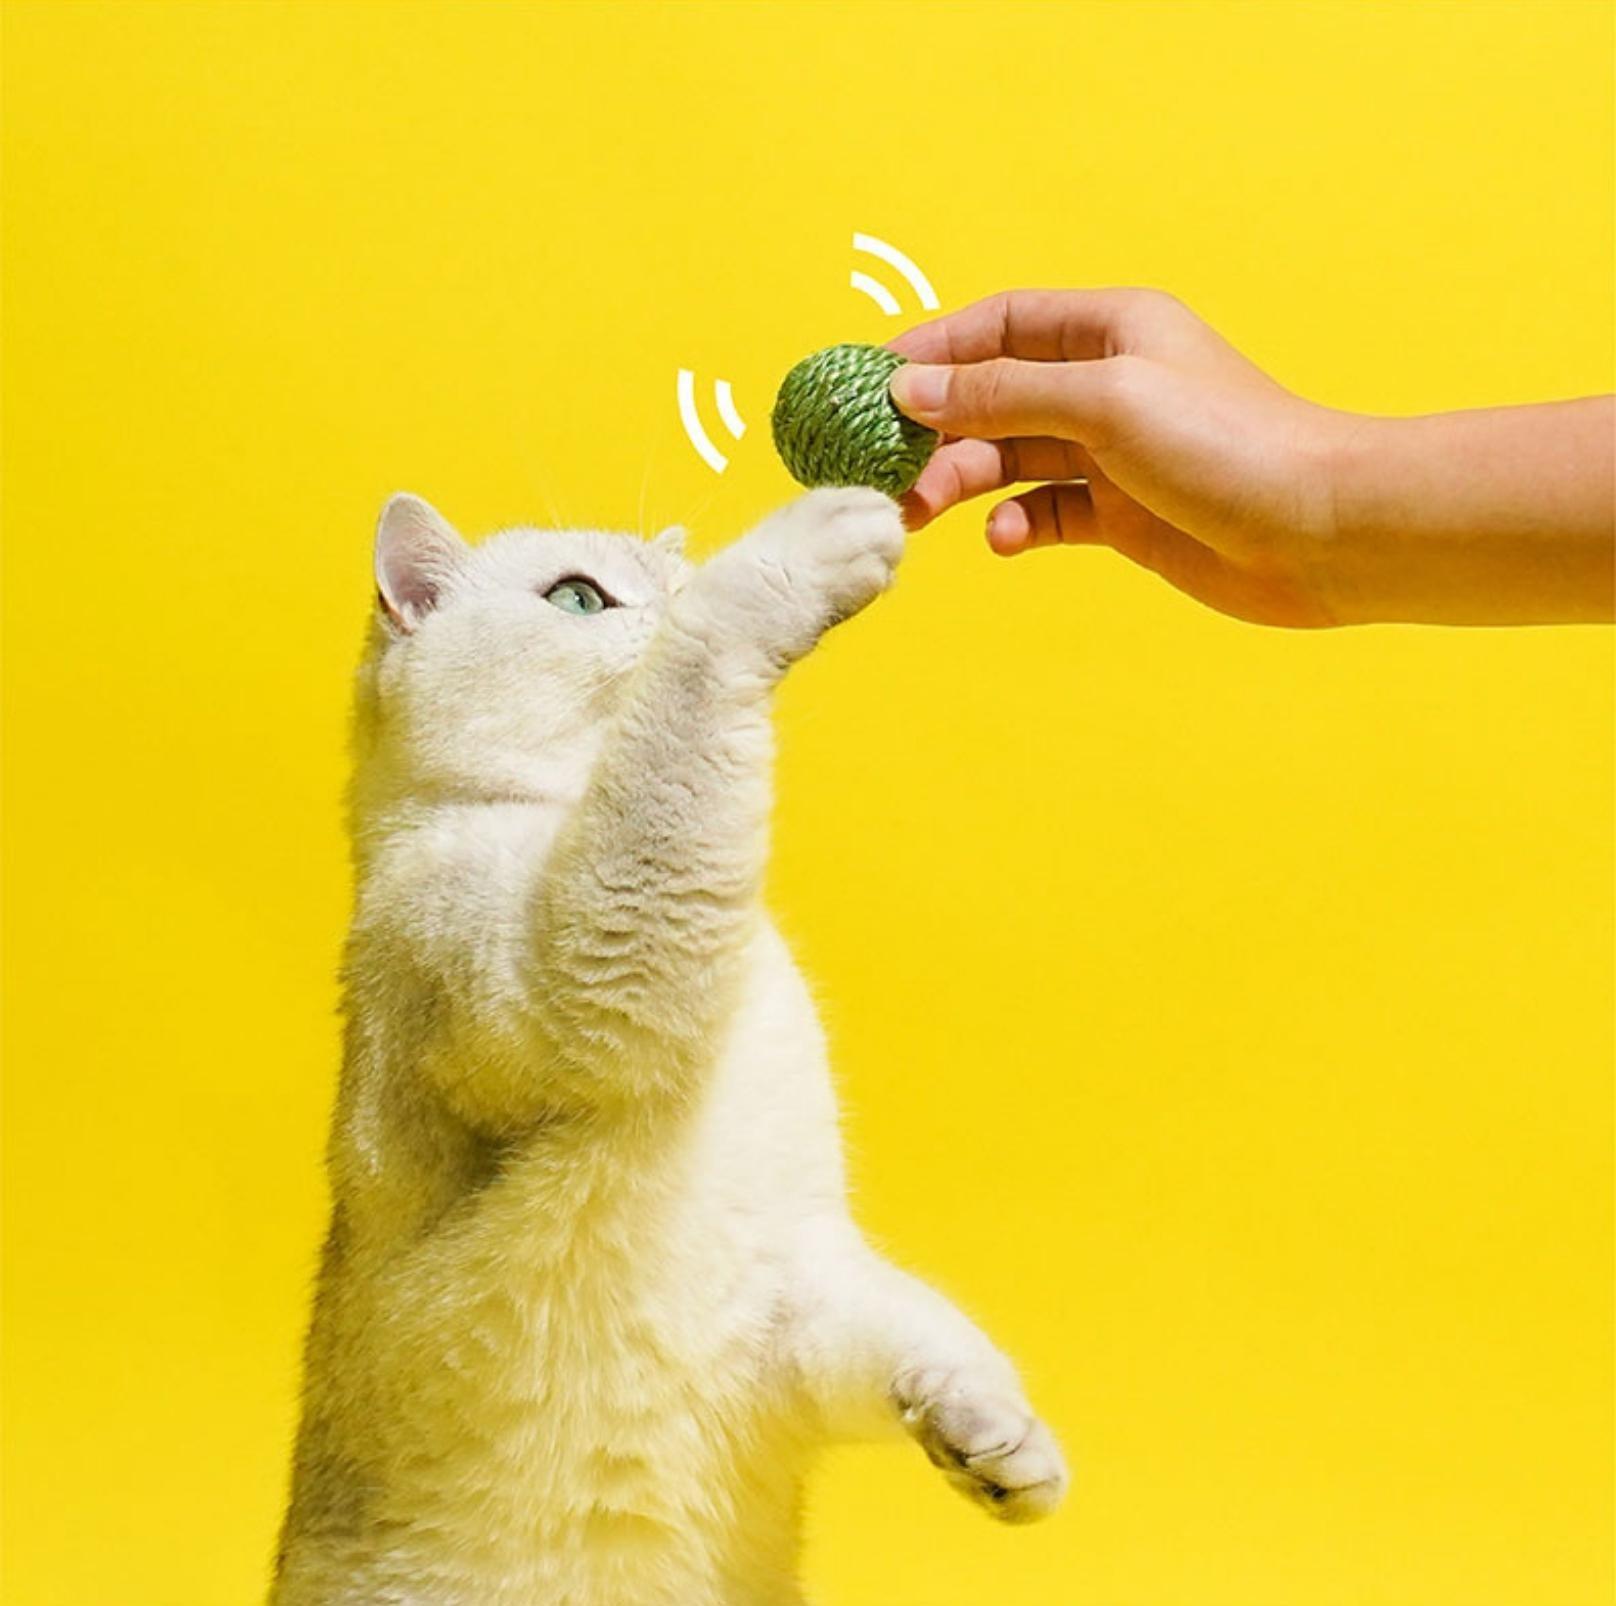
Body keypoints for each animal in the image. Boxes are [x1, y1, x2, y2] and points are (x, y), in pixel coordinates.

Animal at [271, 487, 1066, 1602]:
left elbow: (919, 1331)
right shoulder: (568, 963)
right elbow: (687, 711)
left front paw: (1001, 1443)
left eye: (669, 580)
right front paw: (806, 548)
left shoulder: (793, 1293)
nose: (667, 598)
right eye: (578, 598)